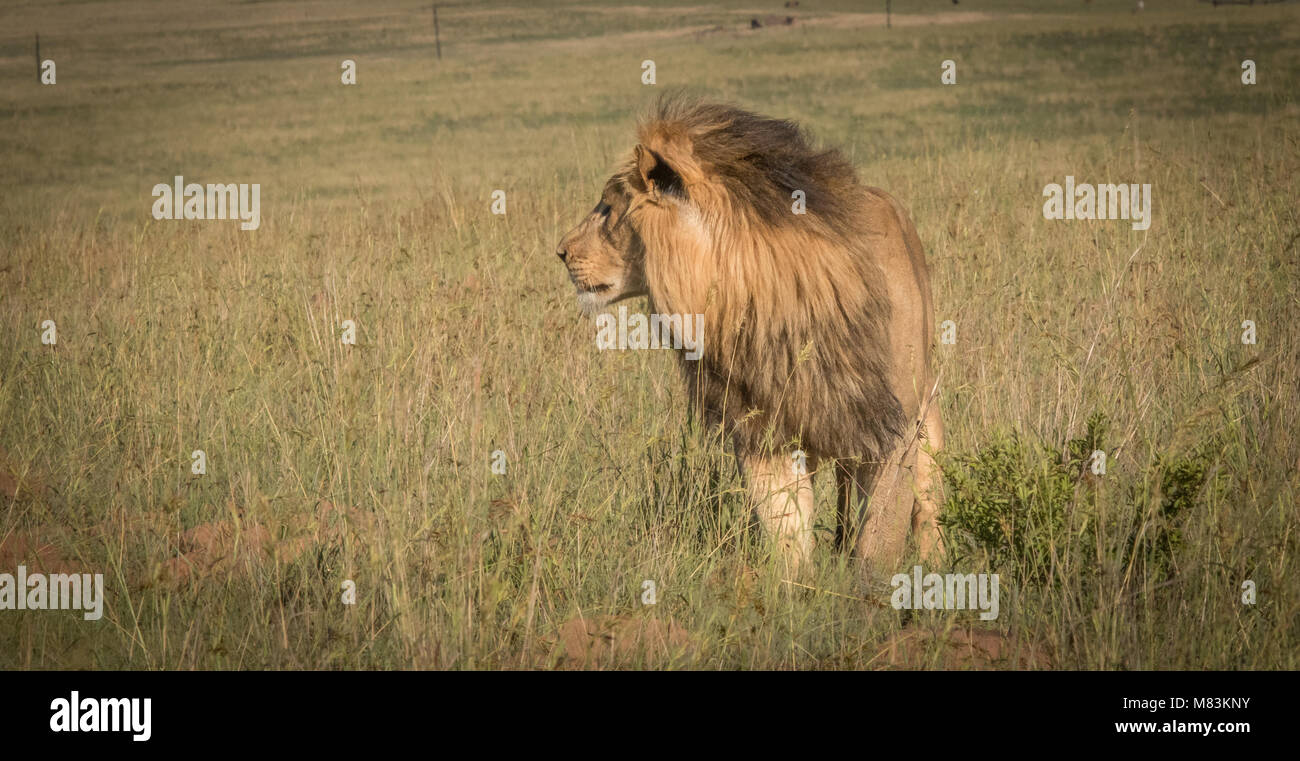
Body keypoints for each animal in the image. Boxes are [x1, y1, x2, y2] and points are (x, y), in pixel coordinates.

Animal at [559, 99, 946, 574]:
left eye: (607, 209)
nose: (561, 252)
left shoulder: (893, 429)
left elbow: (880, 538)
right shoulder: (764, 432)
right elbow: (787, 532)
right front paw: (797, 588)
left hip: (926, 416)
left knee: (928, 507)